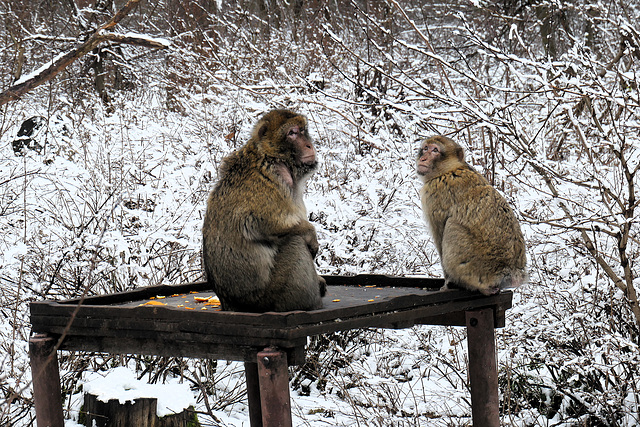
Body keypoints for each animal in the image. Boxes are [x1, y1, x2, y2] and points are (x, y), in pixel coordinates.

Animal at [204, 108, 328, 312]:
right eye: (292, 133)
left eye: (302, 130)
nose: (309, 145)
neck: (272, 158)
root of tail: (229, 303)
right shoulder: (265, 185)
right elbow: (261, 223)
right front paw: (311, 234)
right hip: (271, 296)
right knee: (295, 242)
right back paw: (312, 302)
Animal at [418, 135, 528, 296]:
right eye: (425, 148)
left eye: (435, 150)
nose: (423, 158)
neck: (450, 170)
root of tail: (511, 273)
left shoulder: (433, 195)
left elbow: (440, 235)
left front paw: (446, 284)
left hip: (476, 266)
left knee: (451, 226)